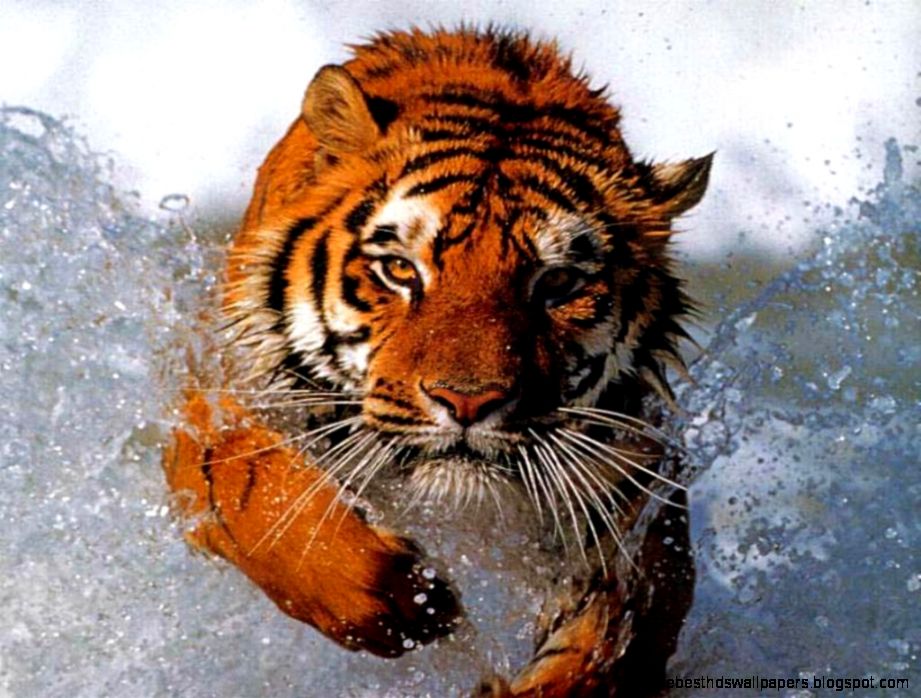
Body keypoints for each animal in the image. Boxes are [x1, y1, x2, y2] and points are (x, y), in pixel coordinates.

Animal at [163, 26, 711, 696]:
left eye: (556, 284)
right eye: (401, 269)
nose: (468, 401)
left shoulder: (635, 499)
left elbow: (612, 639)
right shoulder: (216, 399)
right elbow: (256, 491)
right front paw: (406, 601)